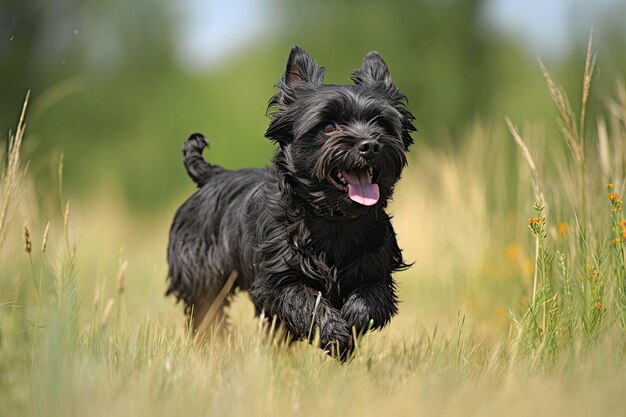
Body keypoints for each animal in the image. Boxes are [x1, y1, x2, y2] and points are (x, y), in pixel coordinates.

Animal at [165, 46, 414, 358]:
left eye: (380, 123)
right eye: (328, 127)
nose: (369, 145)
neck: (335, 219)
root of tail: (213, 175)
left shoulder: (378, 268)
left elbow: (371, 298)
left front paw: (350, 323)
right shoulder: (277, 278)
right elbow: (304, 300)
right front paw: (333, 331)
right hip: (202, 274)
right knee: (208, 310)